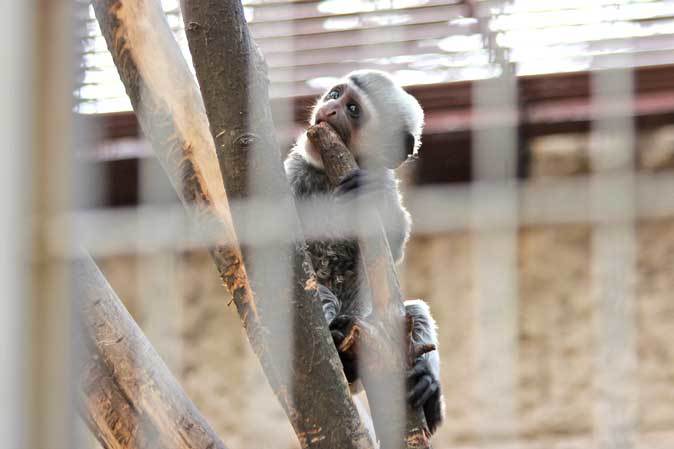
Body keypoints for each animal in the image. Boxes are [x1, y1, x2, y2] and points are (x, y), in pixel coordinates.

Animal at [284, 69, 446, 430]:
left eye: (353, 109)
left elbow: (392, 245)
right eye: (334, 94)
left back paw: (425, 385)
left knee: (414, 311)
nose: (329, 109)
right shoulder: (294, 172)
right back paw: (333, 329)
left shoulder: (382, 178)